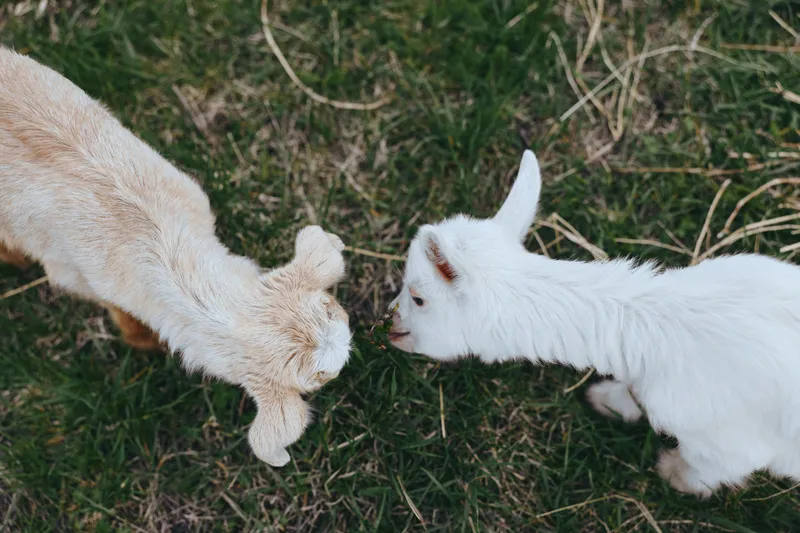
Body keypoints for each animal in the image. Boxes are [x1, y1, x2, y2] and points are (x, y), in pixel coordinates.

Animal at [389, 149, 800, 497]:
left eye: (418, 298)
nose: (388, 322)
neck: (659, 328)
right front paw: (609, 402)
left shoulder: (728, 444)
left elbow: (708, 468)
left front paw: (675, 476)